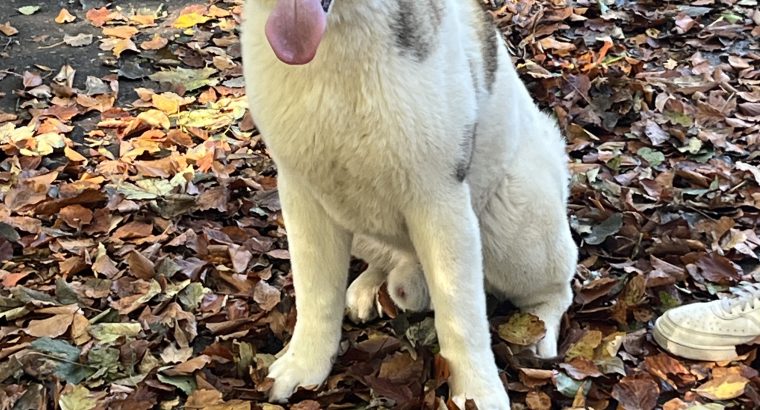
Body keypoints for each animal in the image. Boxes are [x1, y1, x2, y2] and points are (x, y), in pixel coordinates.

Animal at [243, 0, 576, 406]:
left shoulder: (439, 199)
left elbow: (460, 313)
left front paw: (476, 391)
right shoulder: (302, 193)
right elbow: (315, 291)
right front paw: (304, 365)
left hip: (514, 231)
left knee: (556, 287)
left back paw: (540, 331)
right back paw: (369, 284)